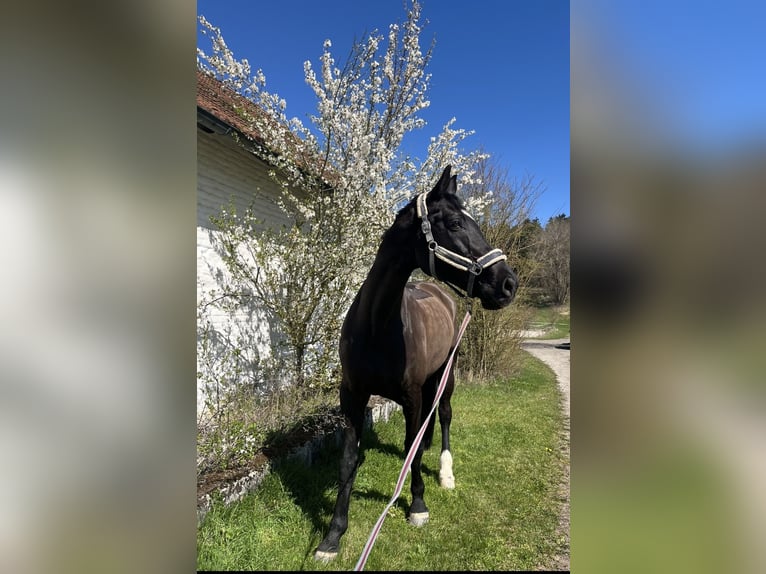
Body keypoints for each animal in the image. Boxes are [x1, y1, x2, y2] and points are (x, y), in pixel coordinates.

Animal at [314, 165, 518, 561]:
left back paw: (445, 473)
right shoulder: (353, 396)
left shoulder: (409, 396)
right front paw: (333, 535)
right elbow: (348, 459)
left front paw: (418, 506)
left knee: (444, 416)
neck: (378, 326)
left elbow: (412, 445)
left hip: (446, 376)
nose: (508, 284)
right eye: (454, 223)